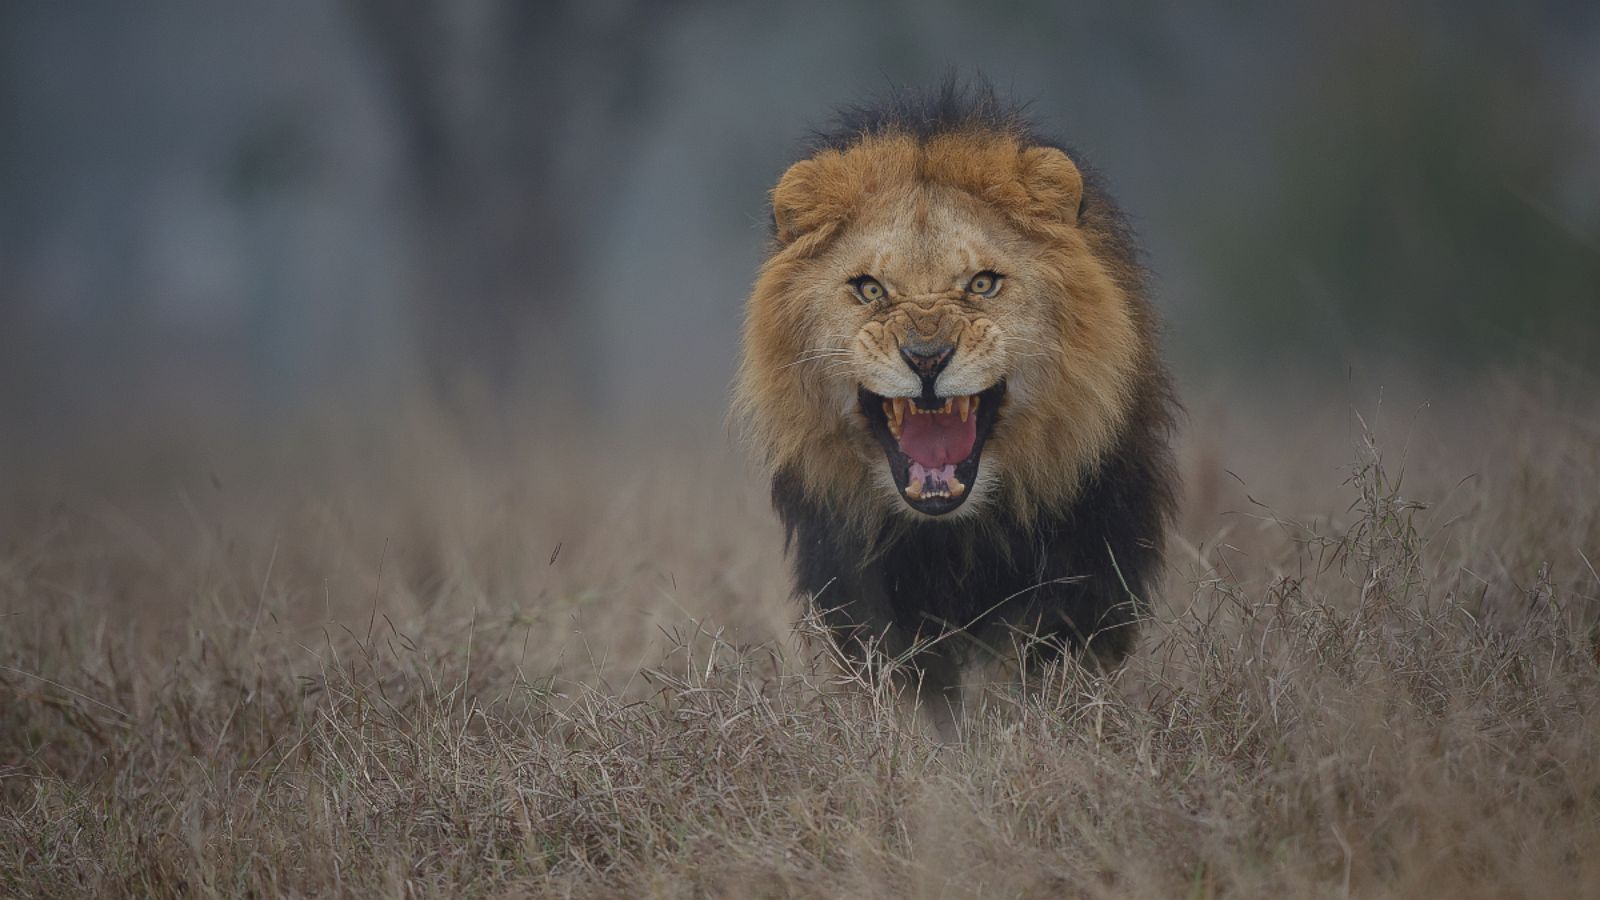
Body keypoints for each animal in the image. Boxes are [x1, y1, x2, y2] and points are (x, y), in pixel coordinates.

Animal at [735, 82, 1178, 732]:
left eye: (982, 284)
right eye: (870, 288)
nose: (926, 358)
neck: (954, 535)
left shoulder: (1083, 570)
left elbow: (1027, 674)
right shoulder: (863, 589)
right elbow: (915, 695)